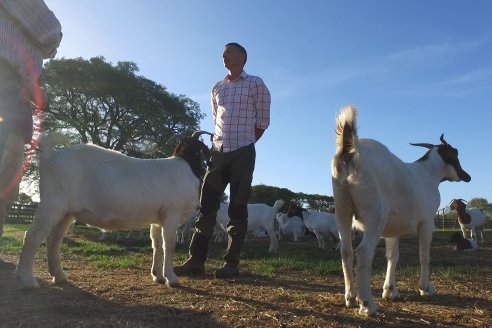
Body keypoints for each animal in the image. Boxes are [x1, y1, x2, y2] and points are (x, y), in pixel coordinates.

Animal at [14, 131, 211, 288]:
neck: (186, 167)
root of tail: (50, 156)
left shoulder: (158, 219)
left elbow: (157, 246)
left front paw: (158, 276)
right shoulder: (171, 215)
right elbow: (168, 246)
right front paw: (172, 279)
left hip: (66, 211)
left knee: (54, 240)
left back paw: (59, 276)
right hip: (53, 203)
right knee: (33, 236)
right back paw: (26, 279)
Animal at [332, 106, 470, 316]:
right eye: (456, 154)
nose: (467, 176)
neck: (427, 174)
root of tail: (351, 148)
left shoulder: (392, 229)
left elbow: (393, 257)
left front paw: (391, 291)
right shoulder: (427, 221)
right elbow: (424, 255)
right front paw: (425, 288)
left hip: (342, 211)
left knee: (346, 251)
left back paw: (350, 298)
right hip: (375, 216)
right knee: (363, 252)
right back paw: (367, 304)